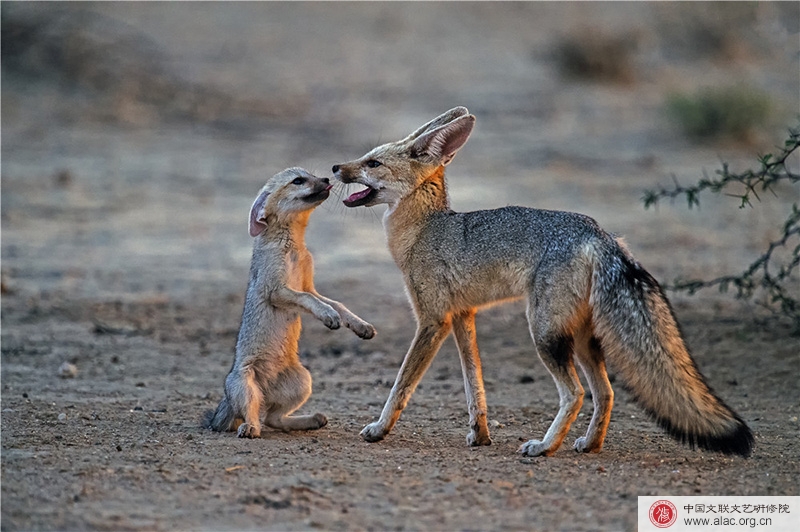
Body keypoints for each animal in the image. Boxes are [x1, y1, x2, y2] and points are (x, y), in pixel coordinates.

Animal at [204, 167, 376, 438]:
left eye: (312, 175)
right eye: (298, 181)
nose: (326, 179)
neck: (293, 247)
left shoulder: (308, 286)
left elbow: (337, 303)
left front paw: (359, 325)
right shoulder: (277, 290)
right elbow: (309, 300)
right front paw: (328, 316)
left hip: (303, 381)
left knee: (273, 418)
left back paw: (312, 420)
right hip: (245, 384)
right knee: (256, 416)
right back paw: (250, 428)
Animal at [332, 107, 754, 457]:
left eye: (372, 162)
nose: (336, 167)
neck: (424, 229)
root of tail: (600, 233)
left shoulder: (432, 320)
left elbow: (402, 384)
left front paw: (379, 428)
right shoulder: (463, 317)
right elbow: (474, 385)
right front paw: (480, 434)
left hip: (544, 332)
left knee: (576, 393)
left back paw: (545, 447)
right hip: (581, 339)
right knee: (605, 392)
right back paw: (589, 444)